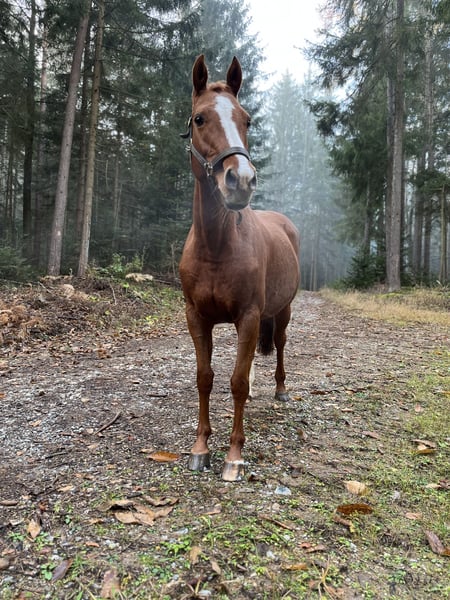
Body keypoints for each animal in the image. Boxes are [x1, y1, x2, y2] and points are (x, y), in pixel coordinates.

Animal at [179, 55, 300, 481]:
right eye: (199, 119)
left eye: (246, 119)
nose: (241, 181)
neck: (217, 248)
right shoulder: (196, 317)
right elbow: (205, 379)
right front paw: (200, 447)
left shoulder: (248, 318)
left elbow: (238, 383)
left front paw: (234, 456)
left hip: (283, 311)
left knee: (280, 344)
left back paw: (281, 390)